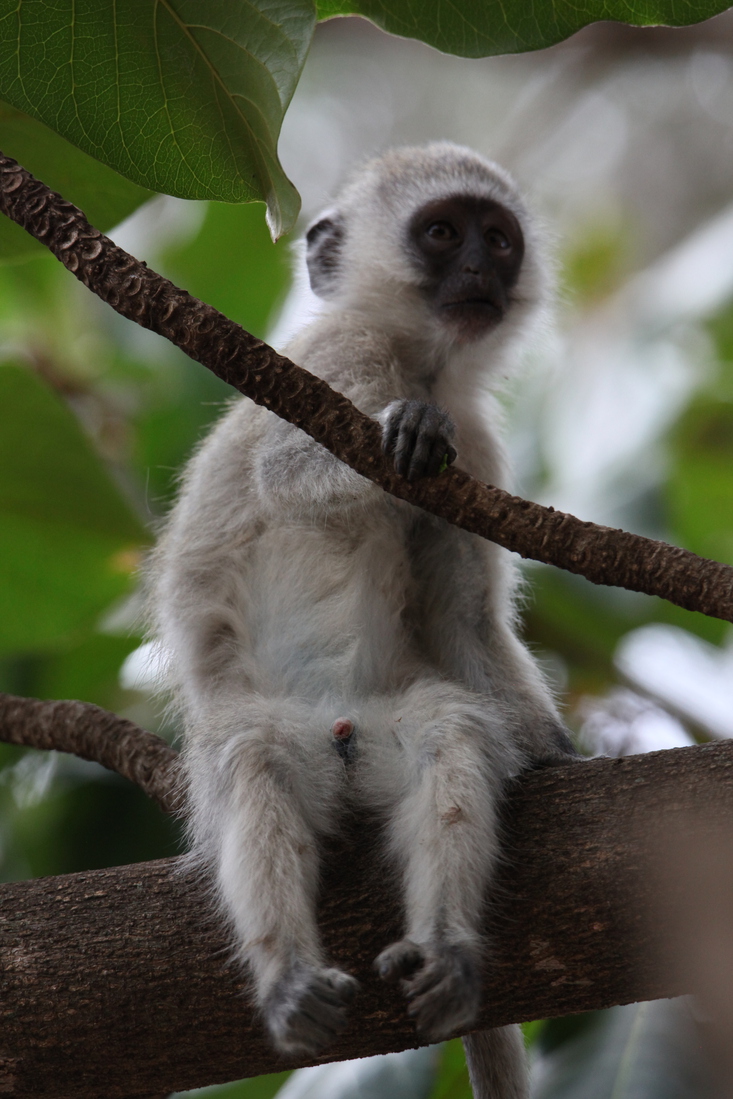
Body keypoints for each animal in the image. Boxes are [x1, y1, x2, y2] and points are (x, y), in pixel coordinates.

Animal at [151, 146, 575, 1099]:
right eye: (443, 232)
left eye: (498, 240)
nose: (478, 271)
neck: (420, 366)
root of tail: (338, 733)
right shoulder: (337, 362)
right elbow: (285, 470)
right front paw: (403, 434)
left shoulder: (477, 452)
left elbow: (461, 620)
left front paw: (559, 754)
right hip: (275, 730)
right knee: (252, 763)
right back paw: (287, 978)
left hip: (390, 727)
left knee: (451, 737)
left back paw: (446, 950)